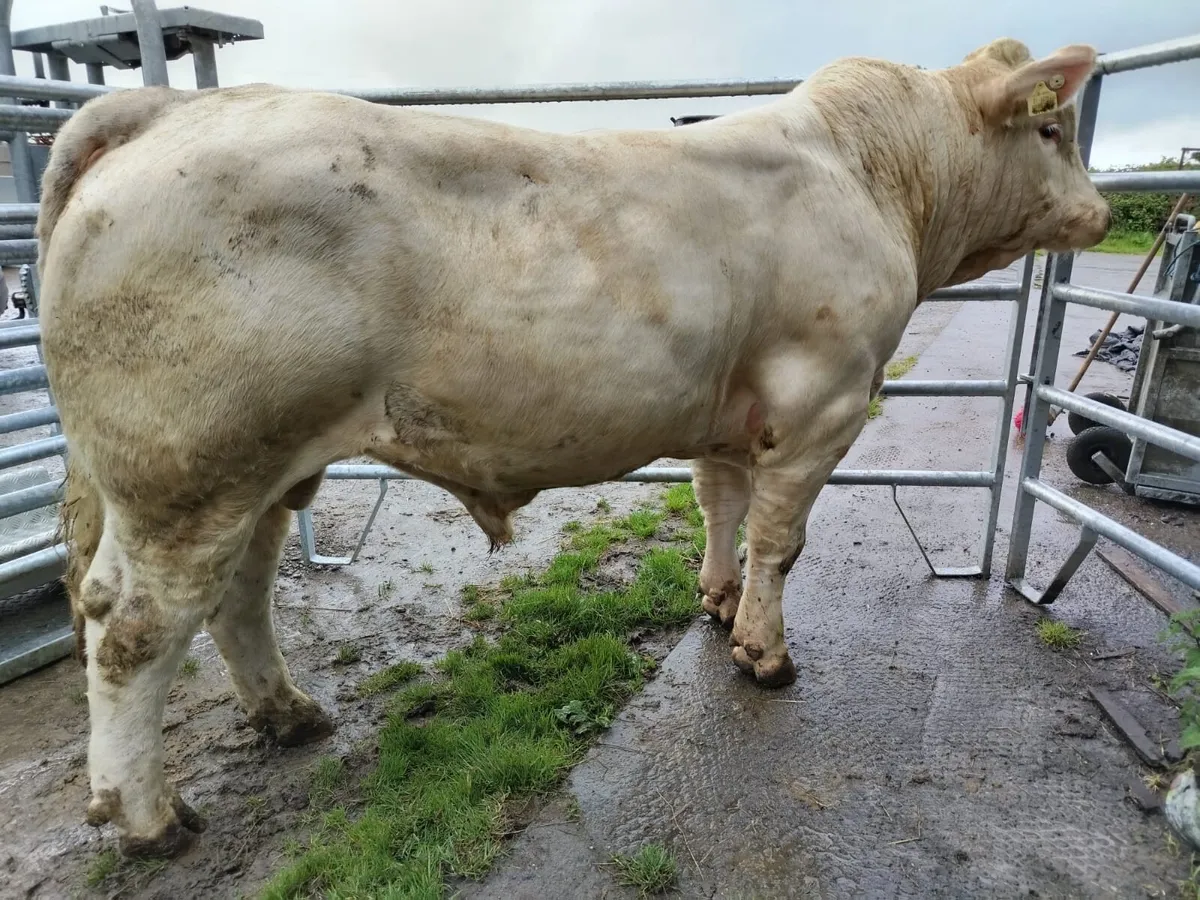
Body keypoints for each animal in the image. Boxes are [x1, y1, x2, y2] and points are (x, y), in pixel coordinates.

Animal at [37, 37, 1109, 857]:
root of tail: (159, 112)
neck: (878, 176)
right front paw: (763, 652)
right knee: (134, 630)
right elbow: (781, 541)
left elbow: (721, 505)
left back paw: (288, 713)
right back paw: (148, 818)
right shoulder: (824, 402)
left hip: (260, 468)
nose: (1101, 213)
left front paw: (717, 602)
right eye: (1052, 130)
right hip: (188, 472)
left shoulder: (730, 408)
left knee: (237, 596)